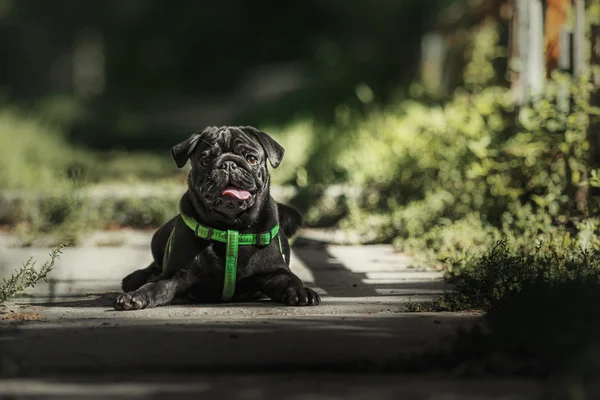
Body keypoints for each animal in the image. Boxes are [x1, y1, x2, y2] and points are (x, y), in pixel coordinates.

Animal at [112, 126, 318, 310]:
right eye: (206, 159)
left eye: (251, 158)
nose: (228, 163)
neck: (231, 228)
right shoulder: (173, 275)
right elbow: (153, 286)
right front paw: (135, 296)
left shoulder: (275, 273)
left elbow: (292, 281)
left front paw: (302, 292)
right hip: (159, 237)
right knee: (154, 265)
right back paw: (135, 278)